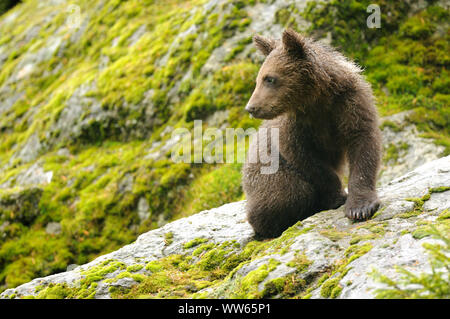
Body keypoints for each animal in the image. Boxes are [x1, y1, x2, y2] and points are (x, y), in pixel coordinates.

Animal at [244, 29, 382, 240]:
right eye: (258, 79)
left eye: (270, 78)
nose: (251, 108)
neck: (317, 100)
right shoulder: (295, 128)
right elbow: (309, 162)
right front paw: (338, 196)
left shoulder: (350, 104)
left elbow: (363, 144)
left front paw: (360, 207)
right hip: (266, 172)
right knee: (289, 191)